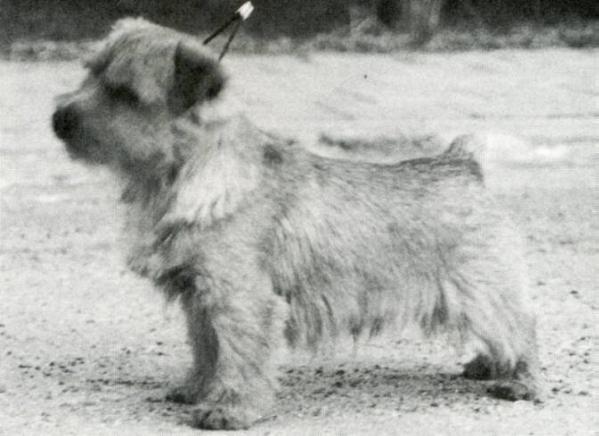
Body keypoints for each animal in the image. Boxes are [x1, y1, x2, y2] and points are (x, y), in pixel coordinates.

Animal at [52, 18, 541, 430]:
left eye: (125, 94)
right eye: (89, 74)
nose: (58, 118)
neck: (181, 175)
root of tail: (462, 163)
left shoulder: (240, 299)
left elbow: (238, 356)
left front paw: (230, 408)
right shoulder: (200, 299)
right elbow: (207, 350)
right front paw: (197, 389)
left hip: (480, 290)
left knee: (521, 327)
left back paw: (518, 380)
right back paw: (488, 365)